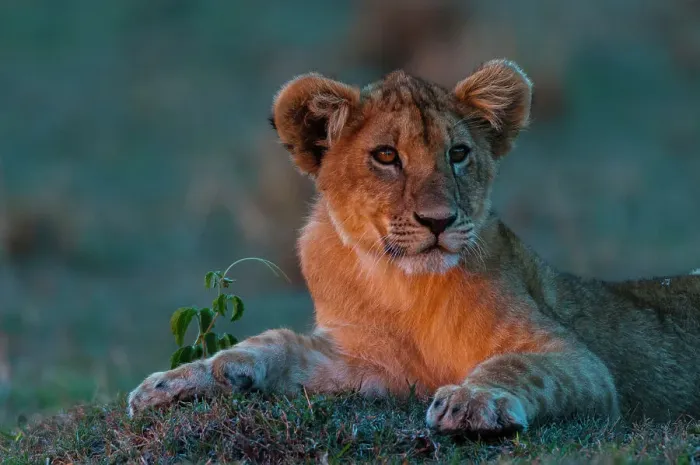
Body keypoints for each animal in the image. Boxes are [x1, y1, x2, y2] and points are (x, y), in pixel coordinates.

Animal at [128, 59, 700, 435]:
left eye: (458, 154)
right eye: (386, 156)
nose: (438, 221)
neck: (403, 286)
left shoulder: (581, 363)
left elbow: (515, 365)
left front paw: (471, 399)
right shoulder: (370, 364)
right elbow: (274, 344)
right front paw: (178, 380)